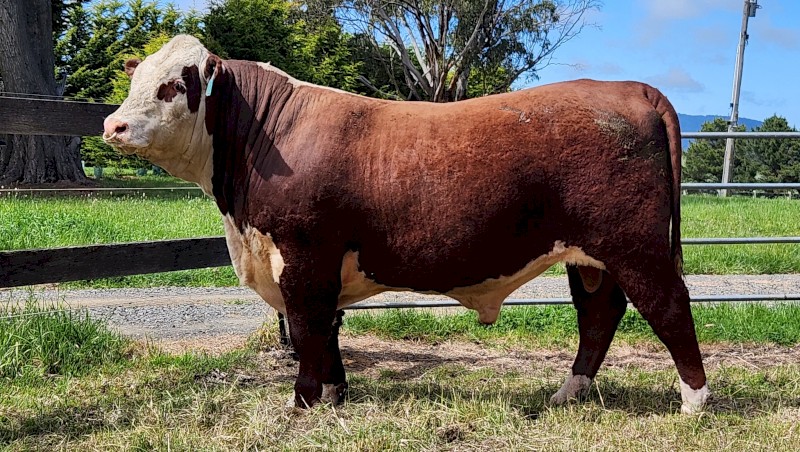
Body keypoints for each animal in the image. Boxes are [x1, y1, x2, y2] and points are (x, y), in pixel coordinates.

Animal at [103, 35, 709, 414]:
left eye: (173, 86)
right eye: (136, 82)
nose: (114, 125)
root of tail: (629, 88)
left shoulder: (304, 256)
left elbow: (306, 327)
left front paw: (304, 400)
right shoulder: (324, 264)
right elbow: (328, 329)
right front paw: (335, 393)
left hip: (635, 245)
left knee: (668, 306)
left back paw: (695, 401)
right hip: (589, 257)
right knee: (599, 314)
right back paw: (569, 393)